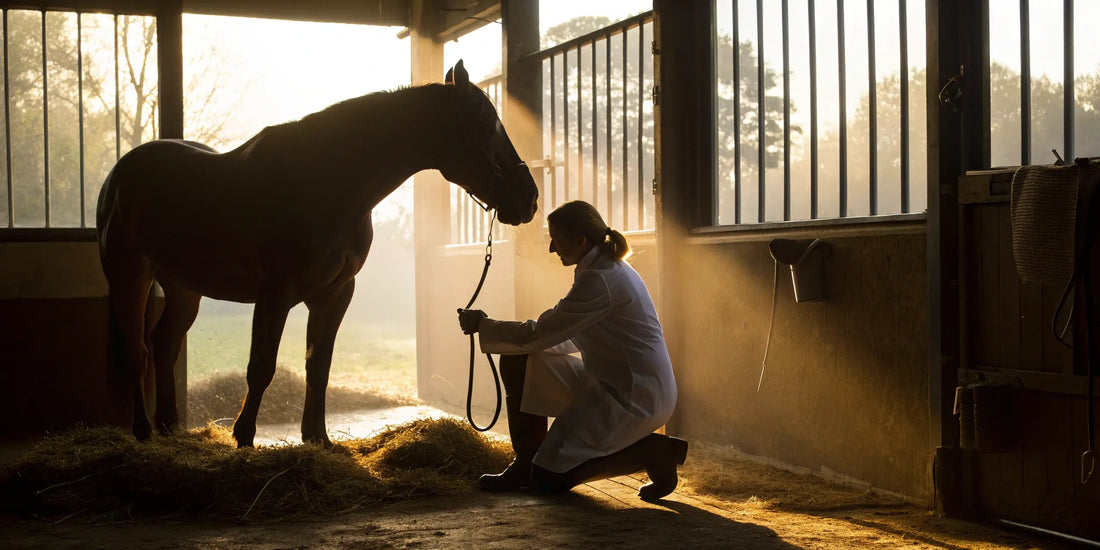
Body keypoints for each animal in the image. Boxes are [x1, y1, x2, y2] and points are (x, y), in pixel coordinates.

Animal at [96, 60, 538, 447]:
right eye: (485, 122)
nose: (529, 197)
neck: (331, 181)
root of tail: (121, 173)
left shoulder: (334, 294)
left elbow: (319, 365)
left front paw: (317, 438)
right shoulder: (275, 295)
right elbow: (261, 367)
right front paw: (244, 438)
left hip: (185, 288)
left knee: (164, 346)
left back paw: (170, 428)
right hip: (131, 276)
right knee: (138, 349)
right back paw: (142, 430)